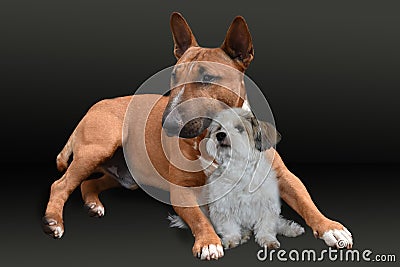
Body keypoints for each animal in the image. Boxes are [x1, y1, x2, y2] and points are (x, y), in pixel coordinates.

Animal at [169, 108, 304, 251]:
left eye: (239, 128)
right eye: (219, 128)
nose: (220, 135)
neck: (239, 169)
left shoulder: (267, 205)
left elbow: (266, 226)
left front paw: (267, 239)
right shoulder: (223, 207)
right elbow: (229, 226)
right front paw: (231, 239)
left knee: (278, 222)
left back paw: (290, 228)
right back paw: (244, 234)